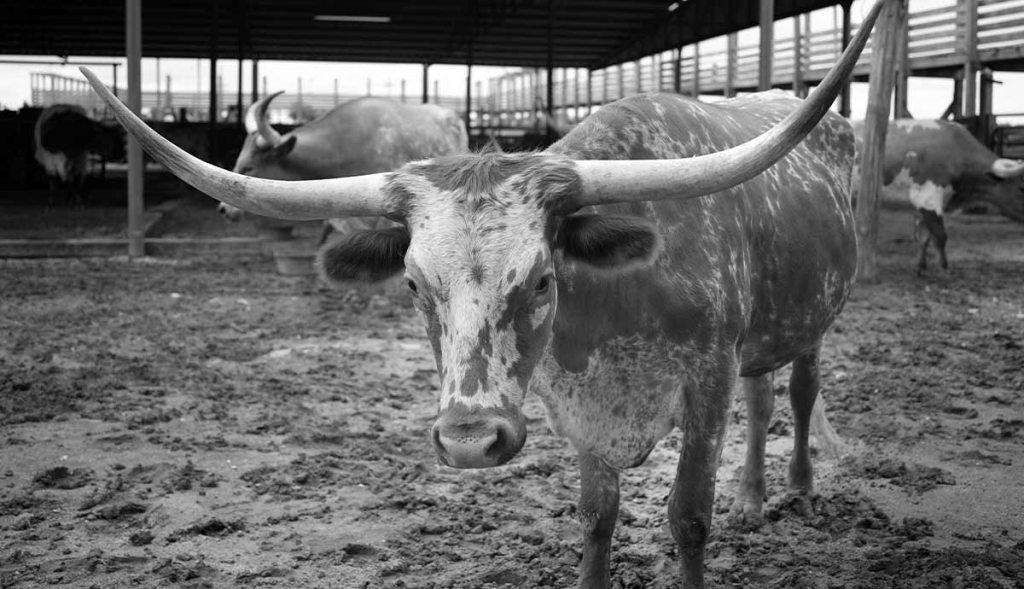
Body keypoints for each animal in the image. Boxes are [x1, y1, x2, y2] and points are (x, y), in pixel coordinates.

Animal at [852, 119, 1024, 274]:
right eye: (1021, 188)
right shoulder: (929, 199)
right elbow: (940, 236)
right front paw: (944, 267)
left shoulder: (921, 206)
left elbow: (923, 237)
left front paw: (921, 267)